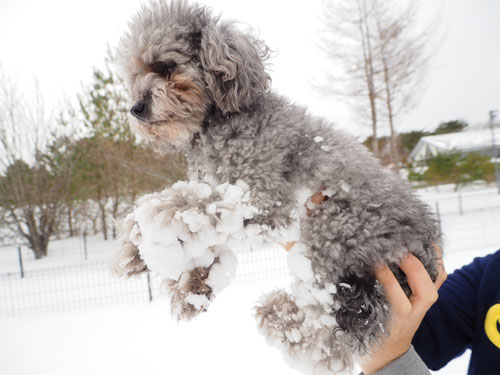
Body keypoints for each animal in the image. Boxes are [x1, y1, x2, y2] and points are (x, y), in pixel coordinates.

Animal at [114, 2, 442, 374]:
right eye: (134, 74)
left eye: (166, 66)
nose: (136, 109)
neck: (219, 121)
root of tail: (428, 248)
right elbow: (207, 234)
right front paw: (189, 282)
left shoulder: (263, 200)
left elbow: (191, 205)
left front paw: (145, 225)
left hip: (334, 228)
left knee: (337, 335)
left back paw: (283, 321)